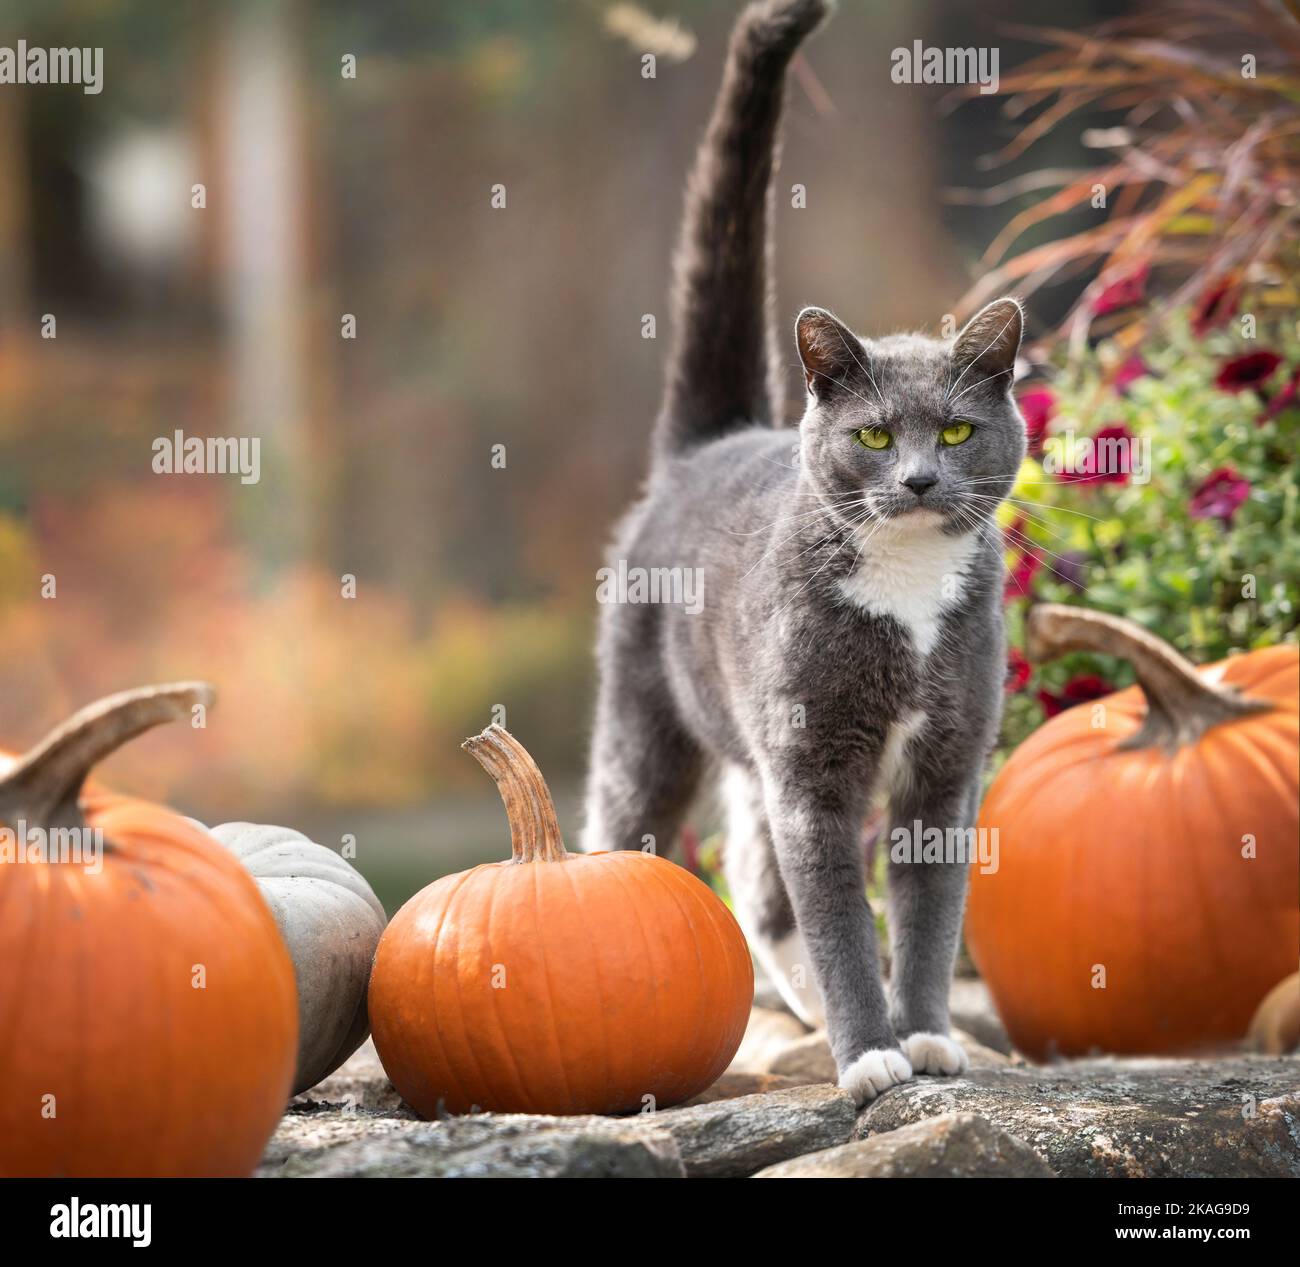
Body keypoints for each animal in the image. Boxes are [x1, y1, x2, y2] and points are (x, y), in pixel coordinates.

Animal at [587, 0, 1024, 1107]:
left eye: (956, 431)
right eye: (873, 435)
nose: (918, 479)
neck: (907, 588)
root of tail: (708, 441)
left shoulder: (947, 763)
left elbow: (926, 912)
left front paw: (925, 1035)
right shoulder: (812, 767)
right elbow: (838, 913)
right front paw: (869, 1055)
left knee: (752, 875)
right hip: (647, 716)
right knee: (622, 833)